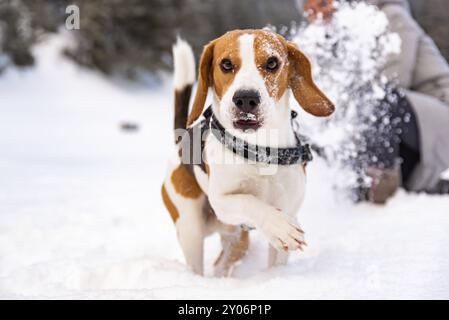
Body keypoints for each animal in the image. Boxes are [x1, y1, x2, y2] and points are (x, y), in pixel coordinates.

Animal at [161, 28, 332, 276]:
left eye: (272, 63)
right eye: (226, 64)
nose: (246, 98)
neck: (260, 149)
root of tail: (180, 141)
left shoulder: (288, 209)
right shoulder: (222, 201)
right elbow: (248, 201)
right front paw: (277, 225)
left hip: (237, 240)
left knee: (221, 264)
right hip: (190, 225)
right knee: (196, 262)